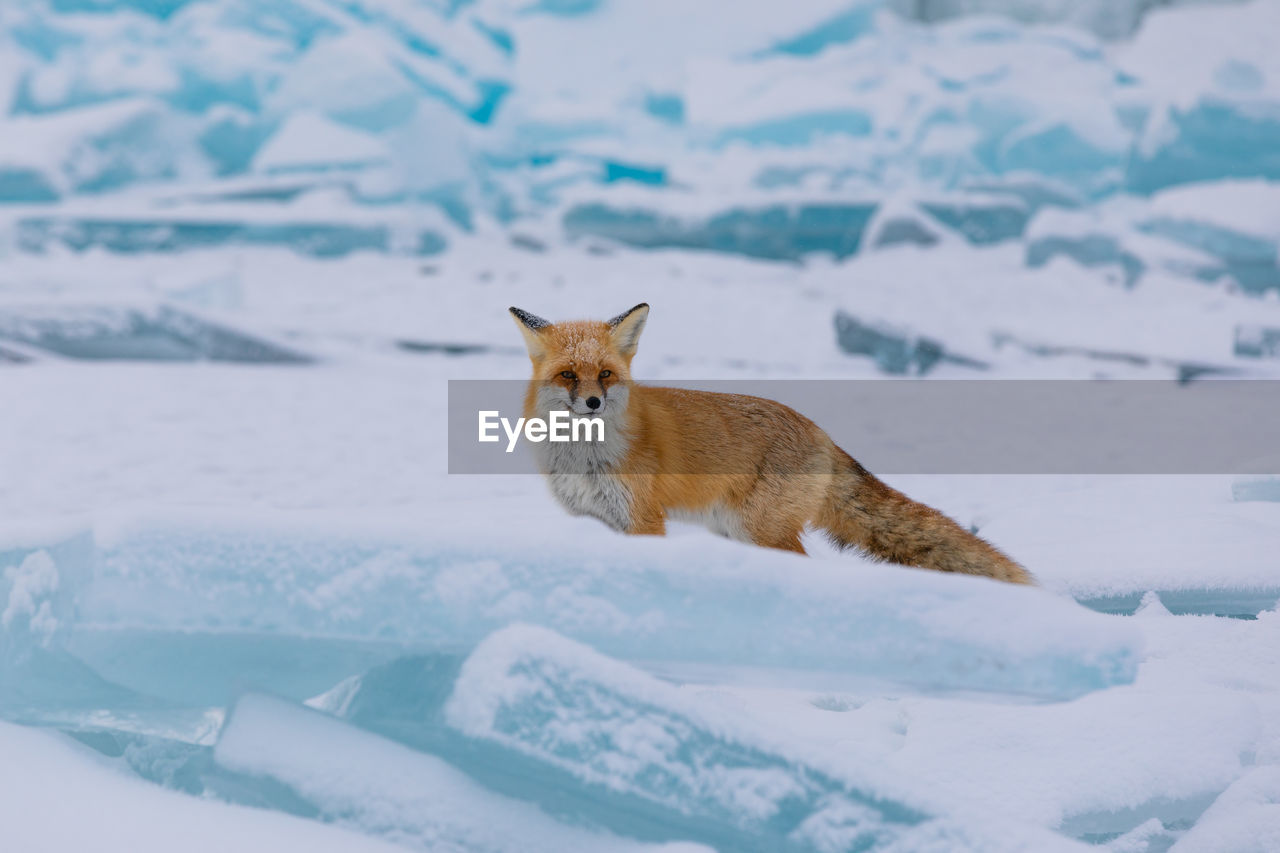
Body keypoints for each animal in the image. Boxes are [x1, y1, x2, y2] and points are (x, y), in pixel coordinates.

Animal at [506, 302, 1029, 581]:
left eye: (606, 375)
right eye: (569, 374)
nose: (593, 403)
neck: (585, 458)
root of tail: (821, 431)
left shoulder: (643, 520)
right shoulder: (590, 518)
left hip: (761, 530)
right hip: (739, 531)